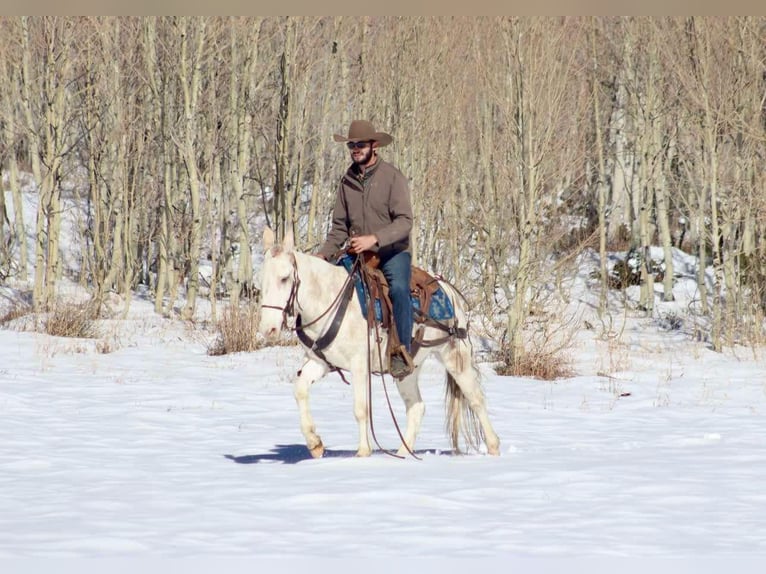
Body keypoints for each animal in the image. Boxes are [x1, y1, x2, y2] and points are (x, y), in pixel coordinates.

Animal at [258, 228, 504, 460]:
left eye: (285, 278)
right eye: (263, 281)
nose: (268, 329)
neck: (328, 299)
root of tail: (447, 289)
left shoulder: (359, 364)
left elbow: (360, 409)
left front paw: (363, 452)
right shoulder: (320, 362)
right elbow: (300, 389)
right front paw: (315, 444)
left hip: (454, 356)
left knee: (476, 399)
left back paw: (493, 447)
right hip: (409, 369)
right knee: (416, 407)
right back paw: (403, 453)